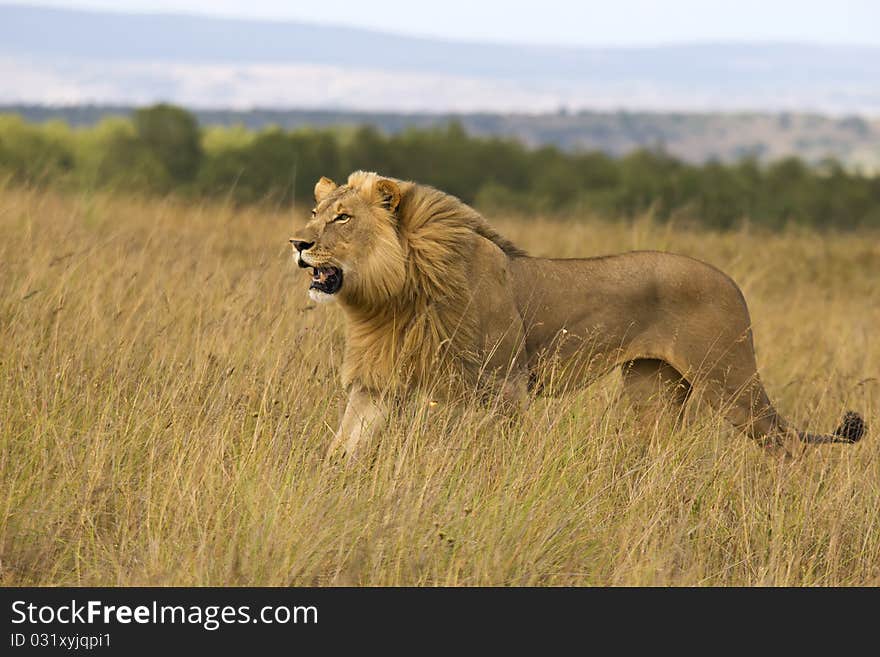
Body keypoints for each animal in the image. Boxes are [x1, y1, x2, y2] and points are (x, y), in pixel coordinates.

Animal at [290, 172, 868, 464]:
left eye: (343, 218)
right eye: (316, 214)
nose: (298, 243)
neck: (395, 295)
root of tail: (731, 281)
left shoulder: (504, 386)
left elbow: (494, 453)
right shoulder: (376, 385)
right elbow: (344, 445)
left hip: (729, 378)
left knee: (786, 445)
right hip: (653, 387)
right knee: (660, 449)